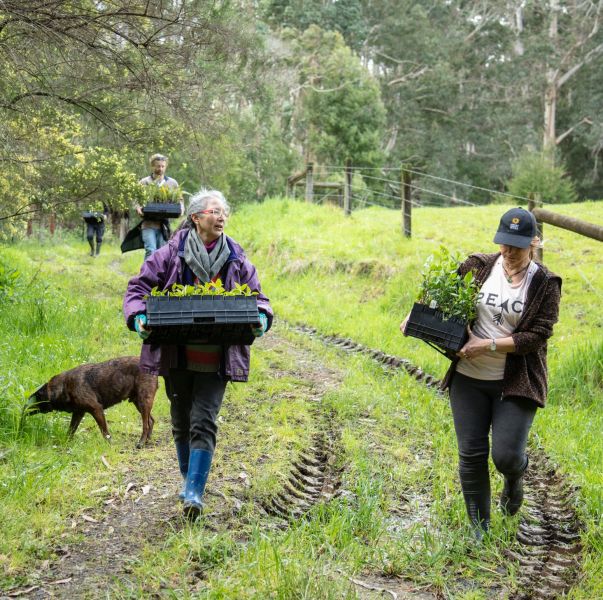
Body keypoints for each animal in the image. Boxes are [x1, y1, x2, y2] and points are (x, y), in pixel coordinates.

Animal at [26, 354, 158, 448]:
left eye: (34, 399)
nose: (23, 409)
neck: (64, 386)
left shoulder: (96, 409)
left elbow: (105, 432)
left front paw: (109, 445)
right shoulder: (78, 413)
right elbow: (70, 431)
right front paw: (65, 443)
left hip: (143, 402)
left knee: (146, 425)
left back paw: (141, 443)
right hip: (139, 403)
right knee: (151, 421)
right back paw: (147, 441)